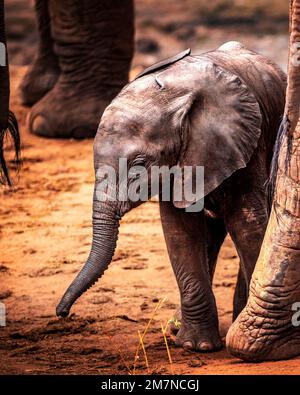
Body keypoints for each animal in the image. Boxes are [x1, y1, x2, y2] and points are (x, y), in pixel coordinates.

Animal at [58, 42, 286, 352]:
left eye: (140, 165)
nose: (62, 313)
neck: (174, 98)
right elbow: (180, 233)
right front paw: (195, 345)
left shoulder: (243, 145)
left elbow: (248, 227)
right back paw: (176, 329)